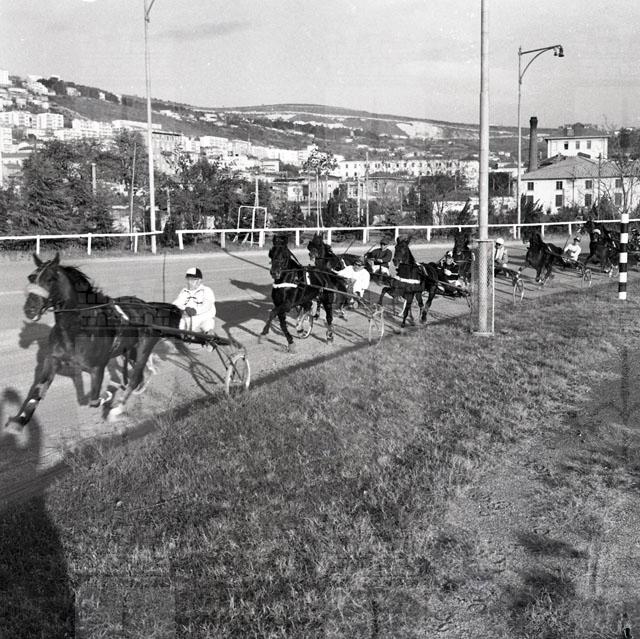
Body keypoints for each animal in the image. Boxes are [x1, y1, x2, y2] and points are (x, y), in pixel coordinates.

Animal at [7, 252, 182, 427]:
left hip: (143, 349)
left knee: (134, 379)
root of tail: (150, 307)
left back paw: (117, 408)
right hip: (132, 350)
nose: (30, 309)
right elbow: (37, 390)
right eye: (31, 277)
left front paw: (109, 395)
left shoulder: (97, 368)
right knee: (141, 375)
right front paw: (22, 417)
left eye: (50, 279)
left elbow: (93, 401)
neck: (76, 330)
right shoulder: (52, 361)